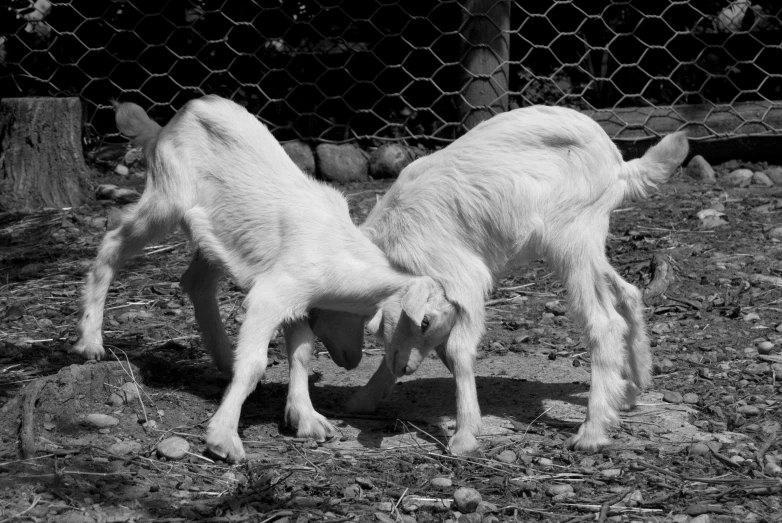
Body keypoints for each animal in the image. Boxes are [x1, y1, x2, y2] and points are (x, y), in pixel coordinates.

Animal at [72, 94, 440, 462]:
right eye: (423, 322)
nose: (353, 362)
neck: (335, 248)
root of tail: (166, 126)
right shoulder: (273, 294)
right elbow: (255, 363)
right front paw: (223, 439)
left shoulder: (298, 300)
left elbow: (302, 352)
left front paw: (307, 420)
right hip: (166, 198)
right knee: (113, 241)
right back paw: (91, 342)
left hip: (213, 235)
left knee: (196, 282)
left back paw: (224, 360)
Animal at [316, 106, 688, 454]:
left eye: (424, 323)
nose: (405, 368)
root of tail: (619, 164)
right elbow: (429, 348)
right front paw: (365, 398)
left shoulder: (462, 276)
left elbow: (458, 349)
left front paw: (465, 435)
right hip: (586, 242)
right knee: (628, 292)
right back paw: (632, 388)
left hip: (573, 235)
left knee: (604, 322)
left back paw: (593, 430)